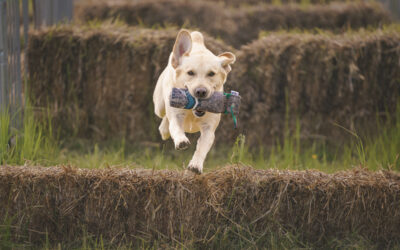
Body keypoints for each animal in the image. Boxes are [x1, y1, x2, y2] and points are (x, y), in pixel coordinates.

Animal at [152, 29, 234, 174]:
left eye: (211, 74)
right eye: (190, 73)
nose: (200, 91)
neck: (192, 112)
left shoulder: (209, 128)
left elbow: (202, 147)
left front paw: (195, 165)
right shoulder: (176, 116)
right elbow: (176, 127)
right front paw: (181, 140)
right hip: (159, 106)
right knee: (164, 117)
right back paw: (164, 130)